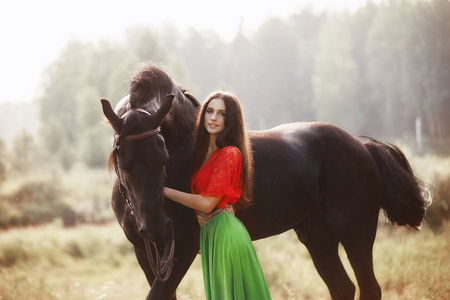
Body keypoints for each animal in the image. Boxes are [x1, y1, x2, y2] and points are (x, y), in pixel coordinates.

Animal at [102, 64, 428, 298]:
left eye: (163, 156)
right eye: (121, 159)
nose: (157, 228)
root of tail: (362, 147)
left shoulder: (181, 250)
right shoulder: (147, 253)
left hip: (356, 234)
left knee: (369, 287)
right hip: (318, 238)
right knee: (342, 288)